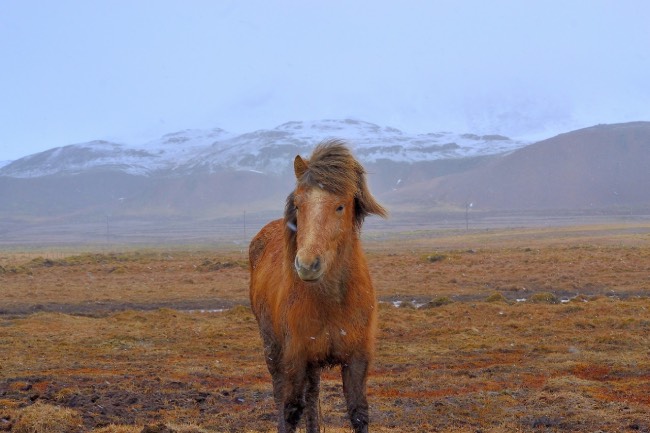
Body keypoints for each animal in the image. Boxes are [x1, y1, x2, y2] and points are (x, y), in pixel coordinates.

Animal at [248, 139, 384, 432]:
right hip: (274, 350)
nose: (307, 265)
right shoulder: (295, 358)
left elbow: (359, 413)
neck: (332, 301)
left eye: (340, 206)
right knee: (284, 396)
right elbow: (290, 411)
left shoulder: (357, 360)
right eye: (298, 205)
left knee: (312, 396)